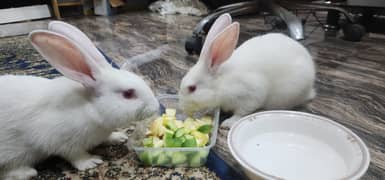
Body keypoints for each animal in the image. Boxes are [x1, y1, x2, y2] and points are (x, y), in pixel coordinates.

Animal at [0, 20, 159, 179]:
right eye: (128, 93)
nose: (156, 107)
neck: (91, 108)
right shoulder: (60, 141)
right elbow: (75, 155)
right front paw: (91, 162)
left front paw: (119, 137)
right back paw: (28, 172)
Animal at [178, 13, 314, 126]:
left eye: (192, 88)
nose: (183, 108)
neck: (221, 82)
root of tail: (310, 90)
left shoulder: (250, 94)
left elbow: (241, 112)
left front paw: (227, 123)